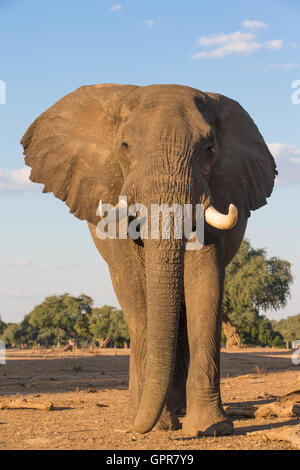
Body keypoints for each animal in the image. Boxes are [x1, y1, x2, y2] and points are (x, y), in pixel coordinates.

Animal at [21, 84, 276, 436]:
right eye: (125, 146)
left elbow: (205, 282)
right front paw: (157, 426)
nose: (140, 427)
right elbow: (135, 288)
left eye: (209, 149)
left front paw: (211, 428)